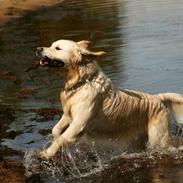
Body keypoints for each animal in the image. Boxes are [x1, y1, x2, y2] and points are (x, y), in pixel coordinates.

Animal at [35, 39, 183, 159]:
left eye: (57, 48)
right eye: (51, 45)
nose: (38, 49)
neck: (81, 83)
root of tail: (157, 97)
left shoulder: (79, 124)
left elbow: (61, 139)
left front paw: (46, 154)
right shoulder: (68, 115)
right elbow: (55, 130)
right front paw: (54, 141)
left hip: (158, 138)